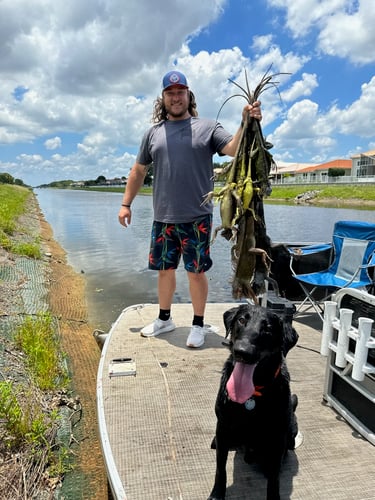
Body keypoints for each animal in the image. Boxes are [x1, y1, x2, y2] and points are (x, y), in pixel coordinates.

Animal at [209, 302, 300, 498]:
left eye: (268, 329)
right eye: (242, 320)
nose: (242, 352)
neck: (251, 395)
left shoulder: (276, 439)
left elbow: (274, 478)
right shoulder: (223, 429)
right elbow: (220, 468)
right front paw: (217, 494)